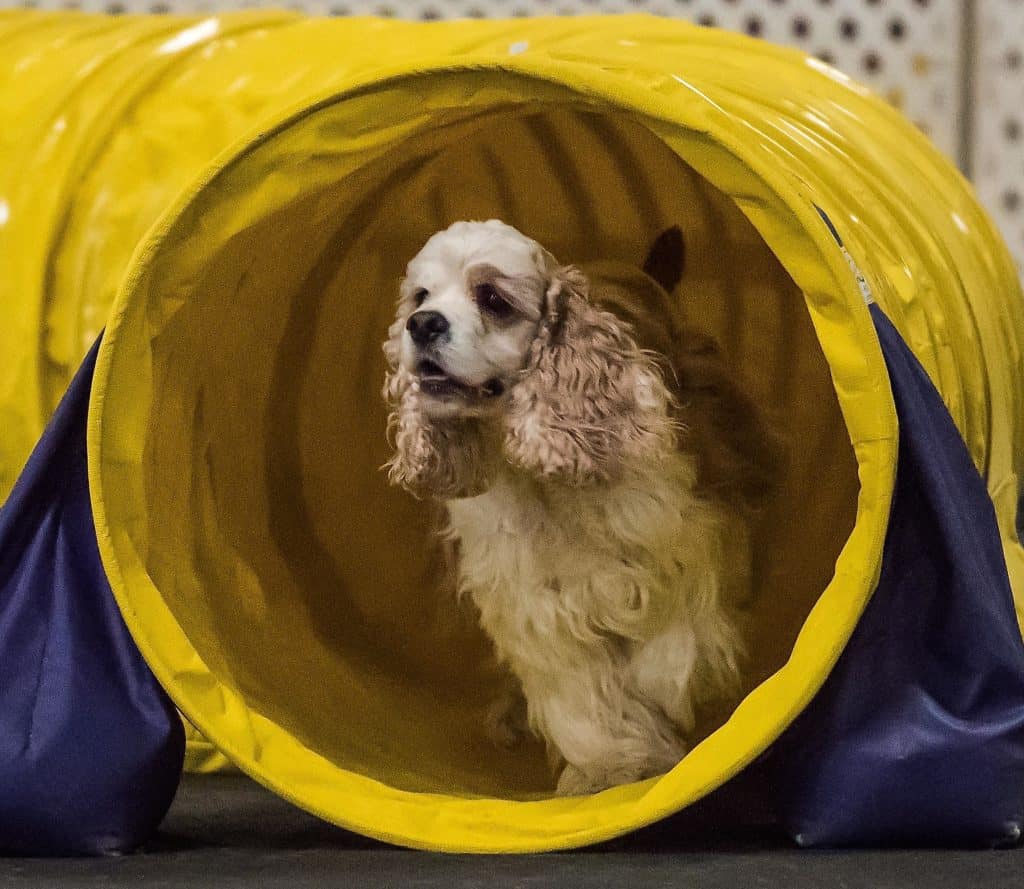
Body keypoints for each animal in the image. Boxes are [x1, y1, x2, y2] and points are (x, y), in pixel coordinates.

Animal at [382, 219, 781, 795]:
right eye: (420, 296)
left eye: (493, 298)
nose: (422, 324)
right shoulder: (535, 604)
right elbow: (582, 701)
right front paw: (613, 767)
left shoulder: (686, 543)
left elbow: (672, 646)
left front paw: (668, 701)